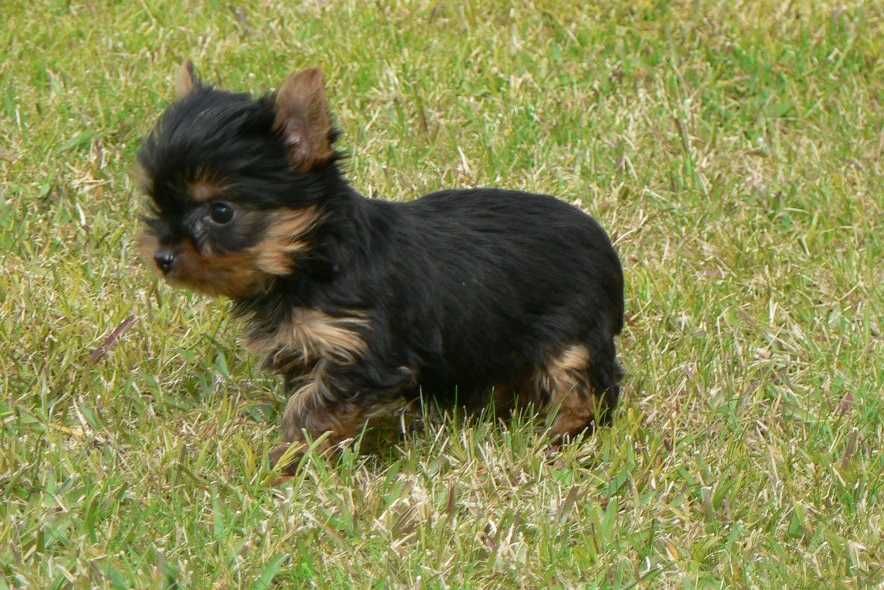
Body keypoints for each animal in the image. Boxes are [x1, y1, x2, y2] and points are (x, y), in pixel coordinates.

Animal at [138, 62, 624, 474]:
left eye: (221, 212)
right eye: (158, 203)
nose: (163, 258)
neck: (311, 263)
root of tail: (603, 246)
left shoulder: (360, 351)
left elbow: (313, 407)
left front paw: (288, 460)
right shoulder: (307, 349)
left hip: (571, 334)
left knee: (588, 389)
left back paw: (562, 434)